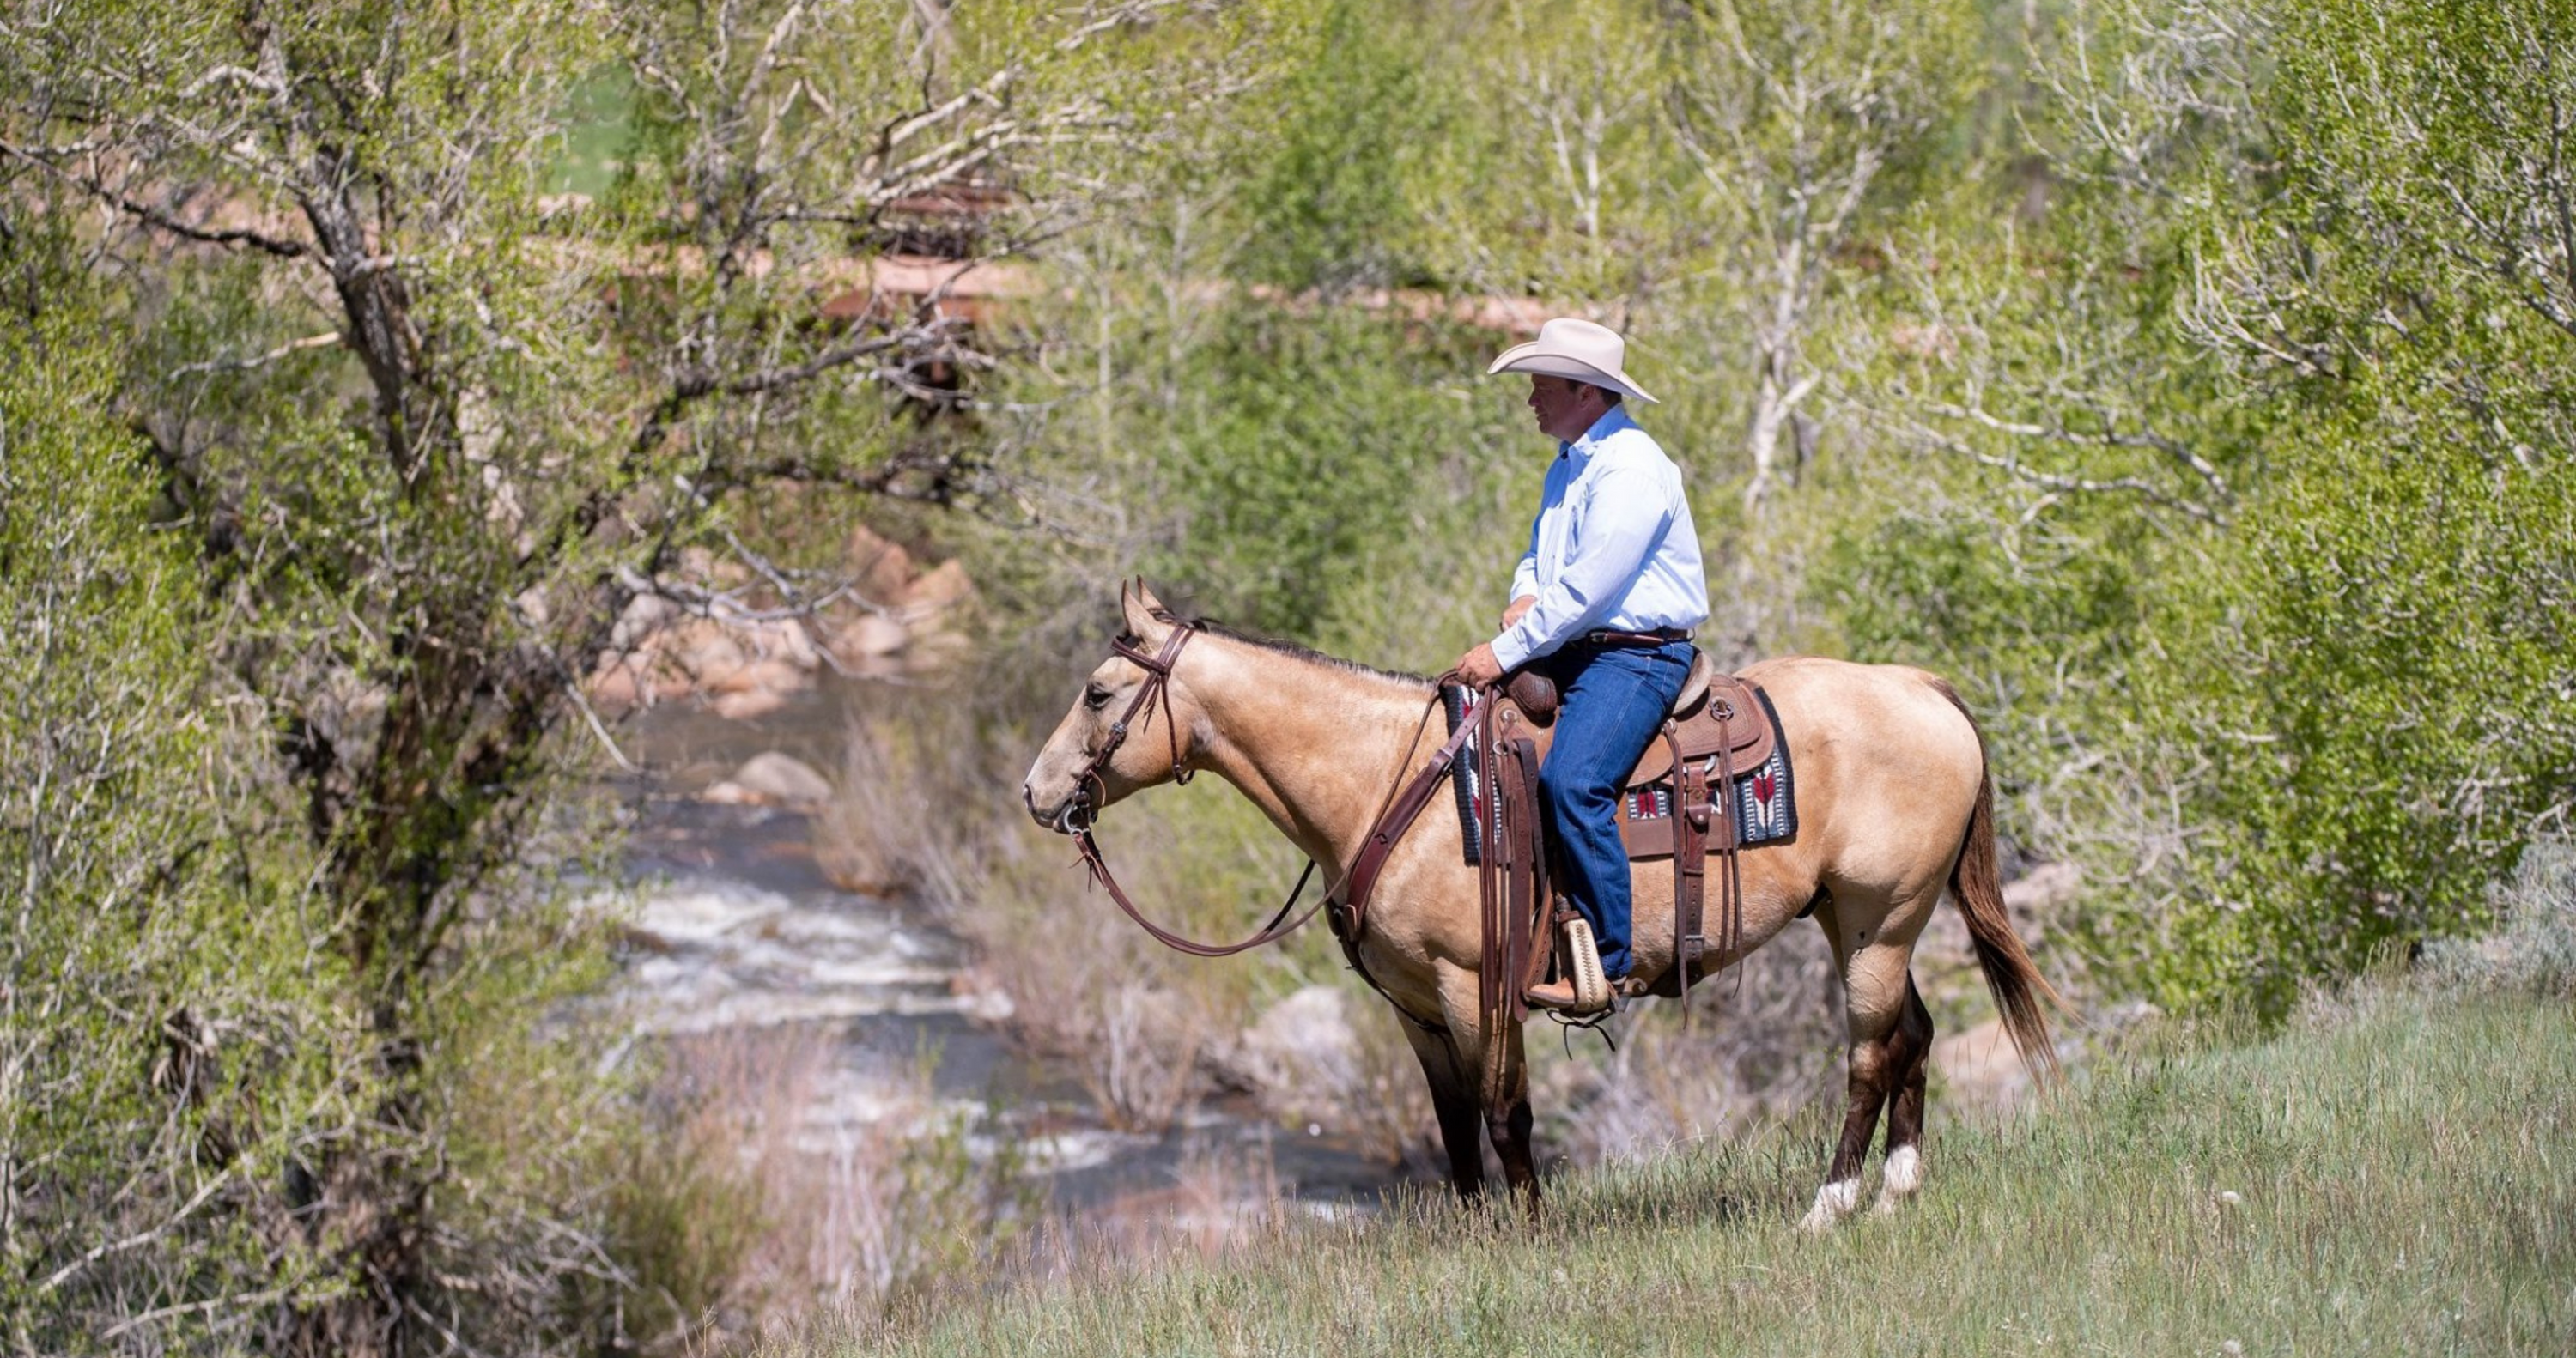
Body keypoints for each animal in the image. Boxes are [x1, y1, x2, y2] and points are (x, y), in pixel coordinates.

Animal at [1015, 585, 2061, 1231]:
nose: (1035, 791)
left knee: (1869, 1055)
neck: (1393, 783)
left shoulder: (1473, 984)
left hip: (1883, 916)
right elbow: (1451, 1124)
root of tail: (1920, 685)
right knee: (1913, 1036)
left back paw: (1829, 1206)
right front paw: (1477, 1235)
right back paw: (1896, 1192)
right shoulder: (1416, 1006)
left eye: (1098, 691)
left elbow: (1507, 1112)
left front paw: (1526, 1233)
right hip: (1862, 919)